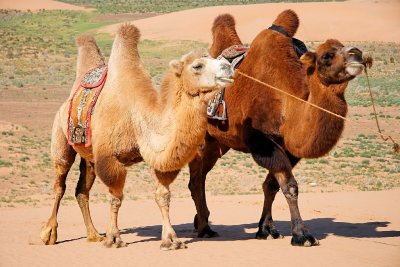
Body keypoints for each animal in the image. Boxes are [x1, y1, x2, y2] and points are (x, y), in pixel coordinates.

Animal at [41, 23, 233, 251]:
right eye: (197, 66)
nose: (228, 67)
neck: (137, 116)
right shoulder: (109, 156)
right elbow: (115, 197)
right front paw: (114, 238)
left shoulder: (153, 154)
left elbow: (163, 195)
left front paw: (171, 240)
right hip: (61, 139)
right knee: (59, 184)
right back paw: (49, 234)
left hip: (90, 158)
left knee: (81, 190)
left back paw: (94, 235)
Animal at [187, 11, 368, 247]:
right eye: (327, 55)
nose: (357, 53)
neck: (286, 100)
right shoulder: (262, 141)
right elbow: (289, 186)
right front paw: (302, 235)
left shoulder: (288, 148)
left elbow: (271, 185)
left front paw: (266, 229)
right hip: (200, 137)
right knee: (196, 179)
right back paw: (205, 228)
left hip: (218, 142)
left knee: (199, 176)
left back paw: (201, 221)